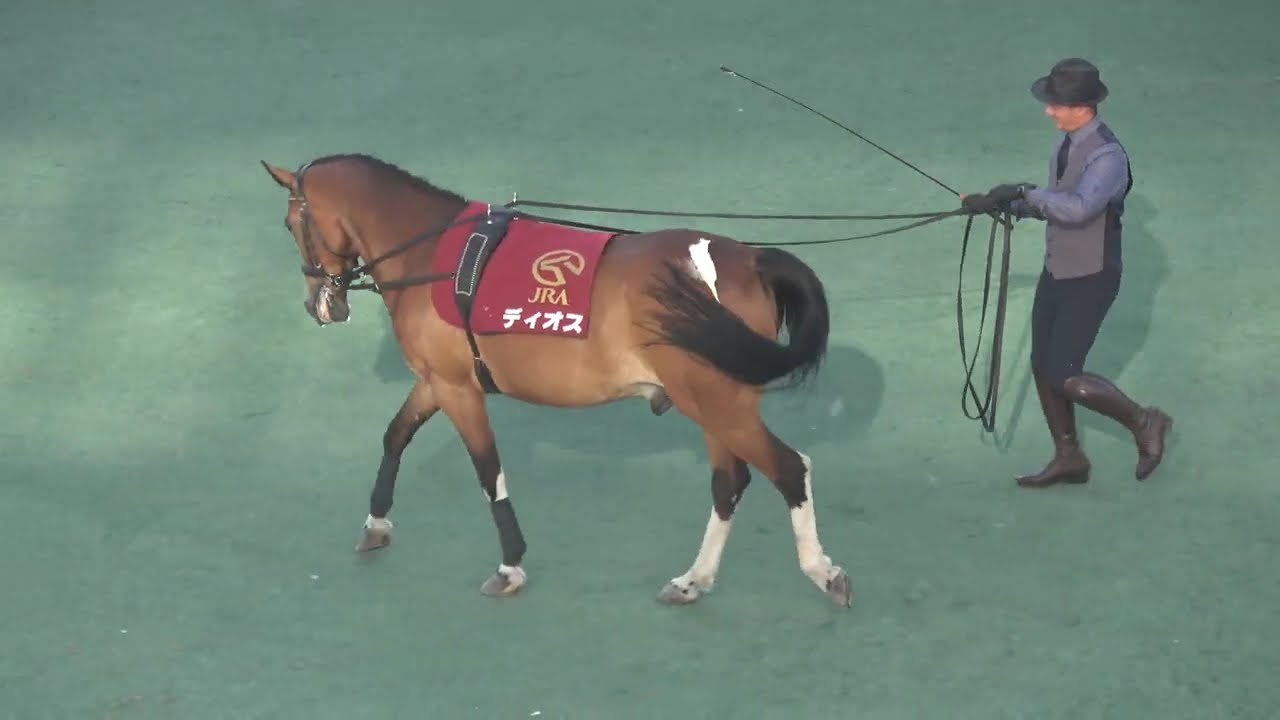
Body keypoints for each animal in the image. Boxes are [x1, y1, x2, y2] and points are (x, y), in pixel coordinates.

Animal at [259, 152, 853, 608]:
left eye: (291, 226)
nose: (320, 305)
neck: (433, 254)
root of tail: (749, 258)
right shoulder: (436, 381)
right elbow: (395, 435)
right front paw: (376, 524)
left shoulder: (457, 389)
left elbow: (488, 472)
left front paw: (510, 567)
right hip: (714, 403)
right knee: (730, 481)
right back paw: (692, 581)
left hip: (715, 401)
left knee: (788, 469)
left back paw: (823, 572)